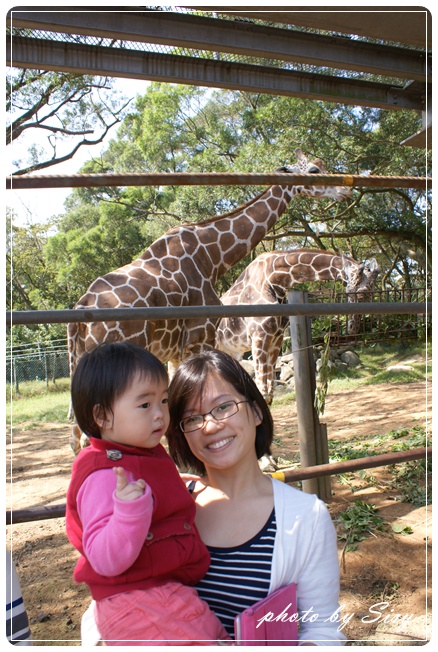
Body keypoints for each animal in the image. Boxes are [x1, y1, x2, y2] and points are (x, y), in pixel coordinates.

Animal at [66, 150, 350, 450]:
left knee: (75, 436)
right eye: (314, 169)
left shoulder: (178, 351)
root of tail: (80, 312)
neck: (212, 257)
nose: (346, 190)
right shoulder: (200, 338)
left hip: (81, 368)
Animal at [214, 248, 378, 402]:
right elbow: (263, 392)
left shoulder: (276, 338)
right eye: (359, 292)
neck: (274, 281)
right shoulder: (259, 337)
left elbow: (269, 394)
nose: (353, 328)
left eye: (370, 294)